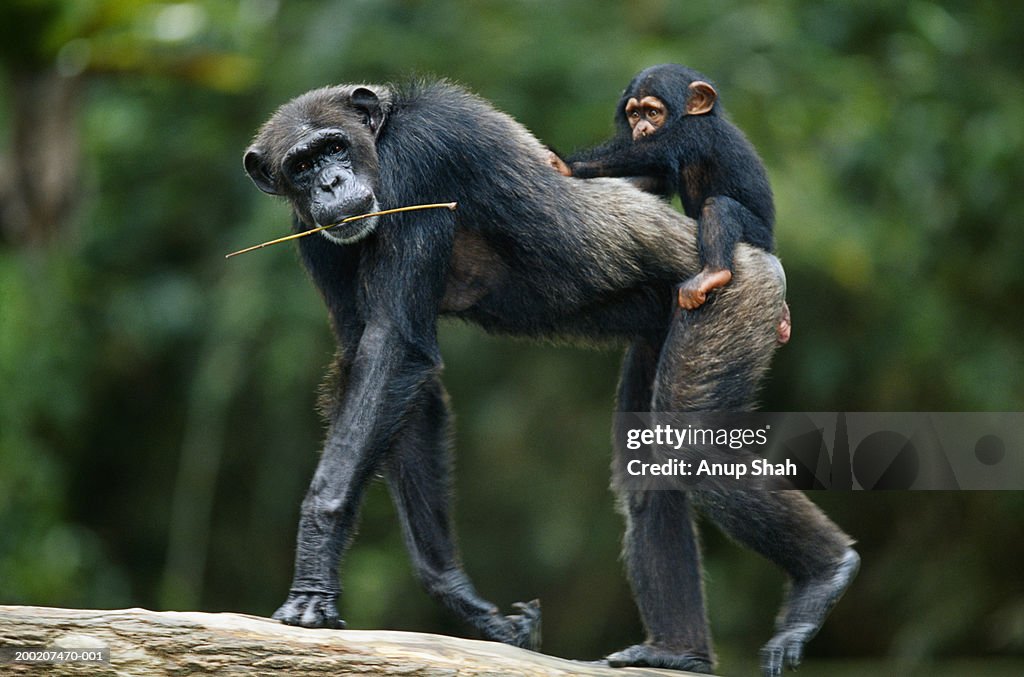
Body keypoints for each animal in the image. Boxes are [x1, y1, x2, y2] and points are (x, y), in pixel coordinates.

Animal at [550, 64, 792, 343]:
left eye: (653, 112)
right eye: (634, 114)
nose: (641, 129)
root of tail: (771, 246)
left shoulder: (693, 132)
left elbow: (651, 152)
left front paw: (566, 166)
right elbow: (653, 178)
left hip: (758, 235)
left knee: (719, 207)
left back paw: (713, 274)